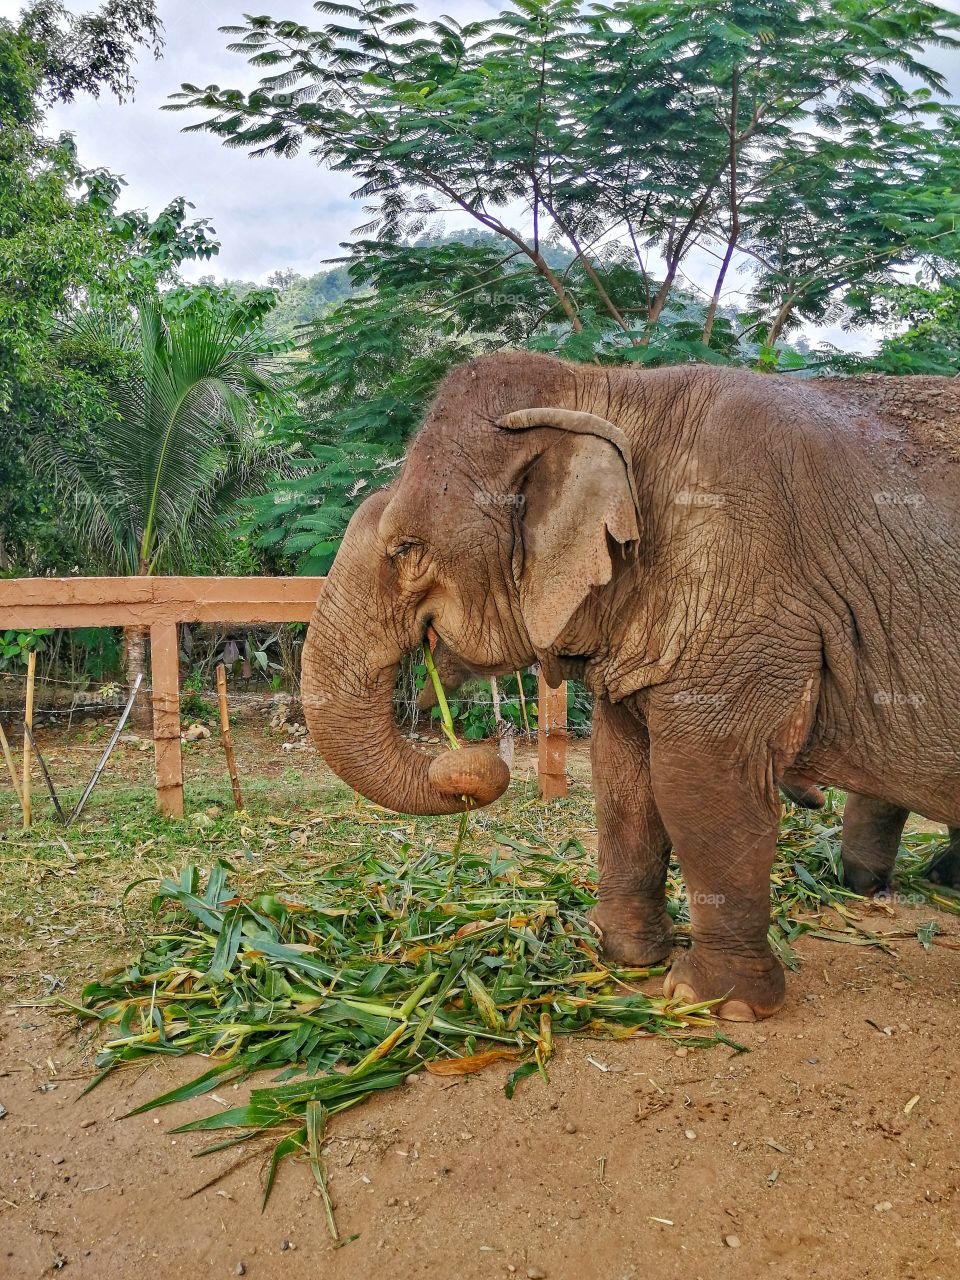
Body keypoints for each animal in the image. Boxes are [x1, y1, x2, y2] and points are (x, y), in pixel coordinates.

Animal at [301, 352, 960, 1021]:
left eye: (406, 549)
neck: (608, 386)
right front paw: (621, 953)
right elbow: (622, 773)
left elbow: (698, 778)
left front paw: (714, 1002)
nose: (477, 762)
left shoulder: (746, 591)